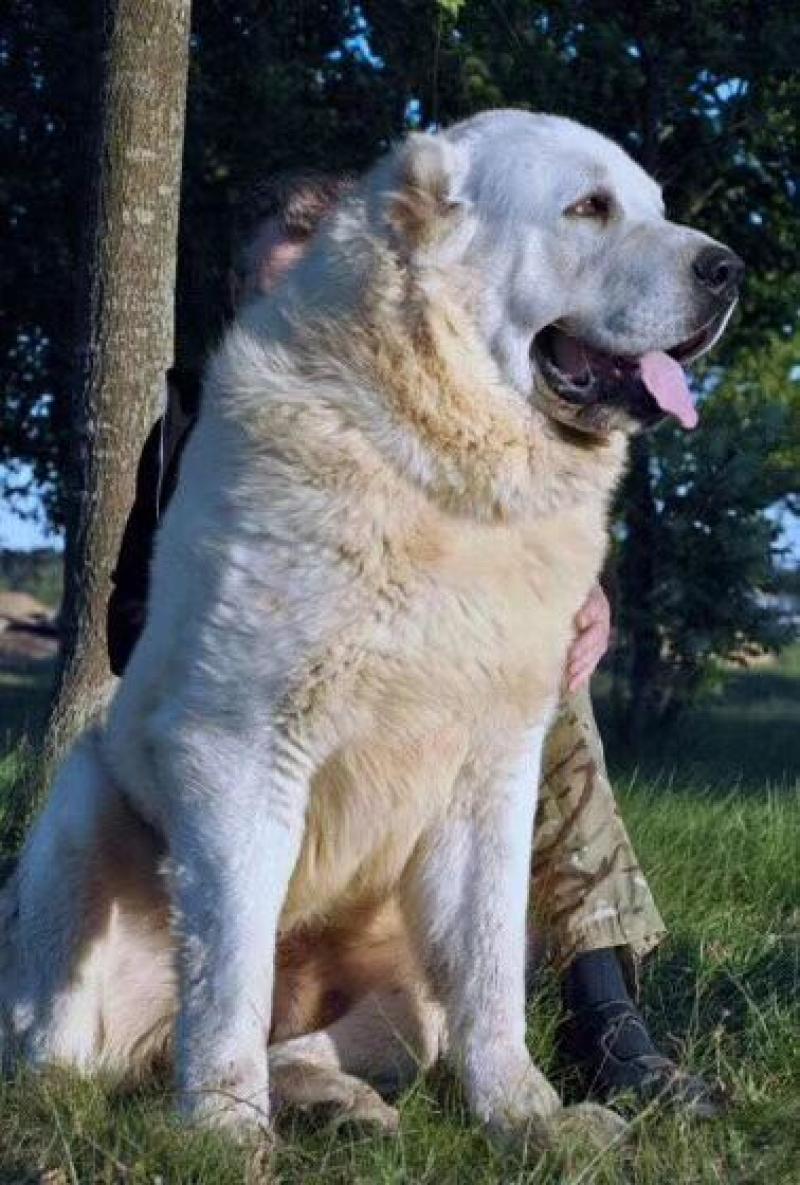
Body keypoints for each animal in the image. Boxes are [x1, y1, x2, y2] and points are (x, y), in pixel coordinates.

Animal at [0, 109, 744, 1147]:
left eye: (656, 205)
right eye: (590, 208)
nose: (728, 269)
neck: (444, 469)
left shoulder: (495, 768)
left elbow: (490, 969)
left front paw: (526, 1115)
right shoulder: (240, 750)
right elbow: (228, 973)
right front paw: (226, 1133)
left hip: (403, 981)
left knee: (348, 1036)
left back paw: (338, 1099)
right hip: (79, 807)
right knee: (65, 1042)